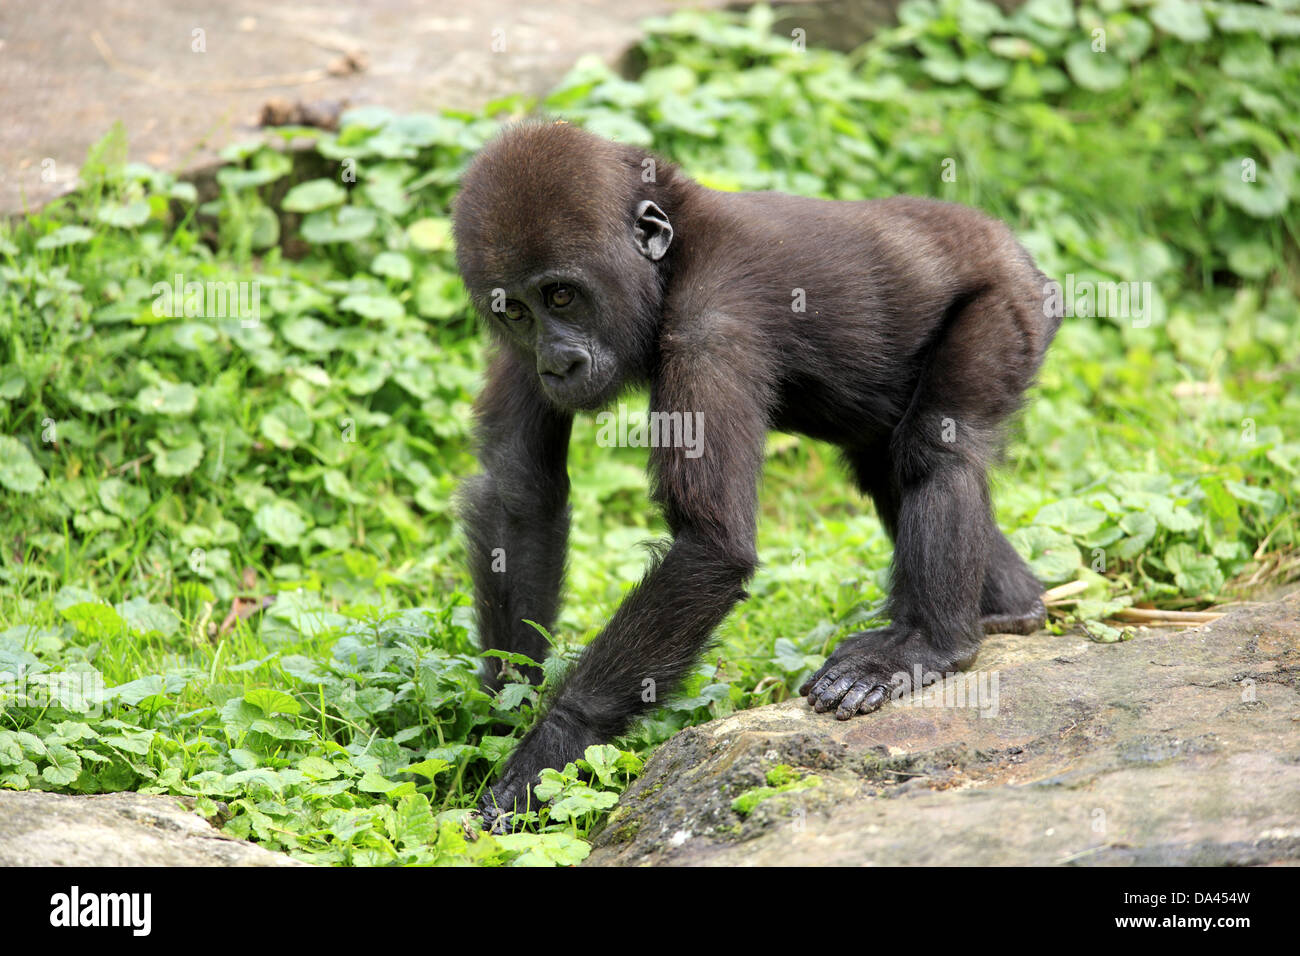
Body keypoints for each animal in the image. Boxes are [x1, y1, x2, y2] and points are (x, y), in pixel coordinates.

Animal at [452, 121, 1060, 832]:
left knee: (937, 449)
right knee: (890, 467)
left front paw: (550, 745)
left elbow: (711, 545)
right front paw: (506, 705)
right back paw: (1013, 606)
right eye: (516, 312)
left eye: (561, 295)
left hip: (1009, 299)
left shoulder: (711, 322)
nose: (557, 363)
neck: (673, 253)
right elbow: (521, 494)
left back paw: (933, 646)